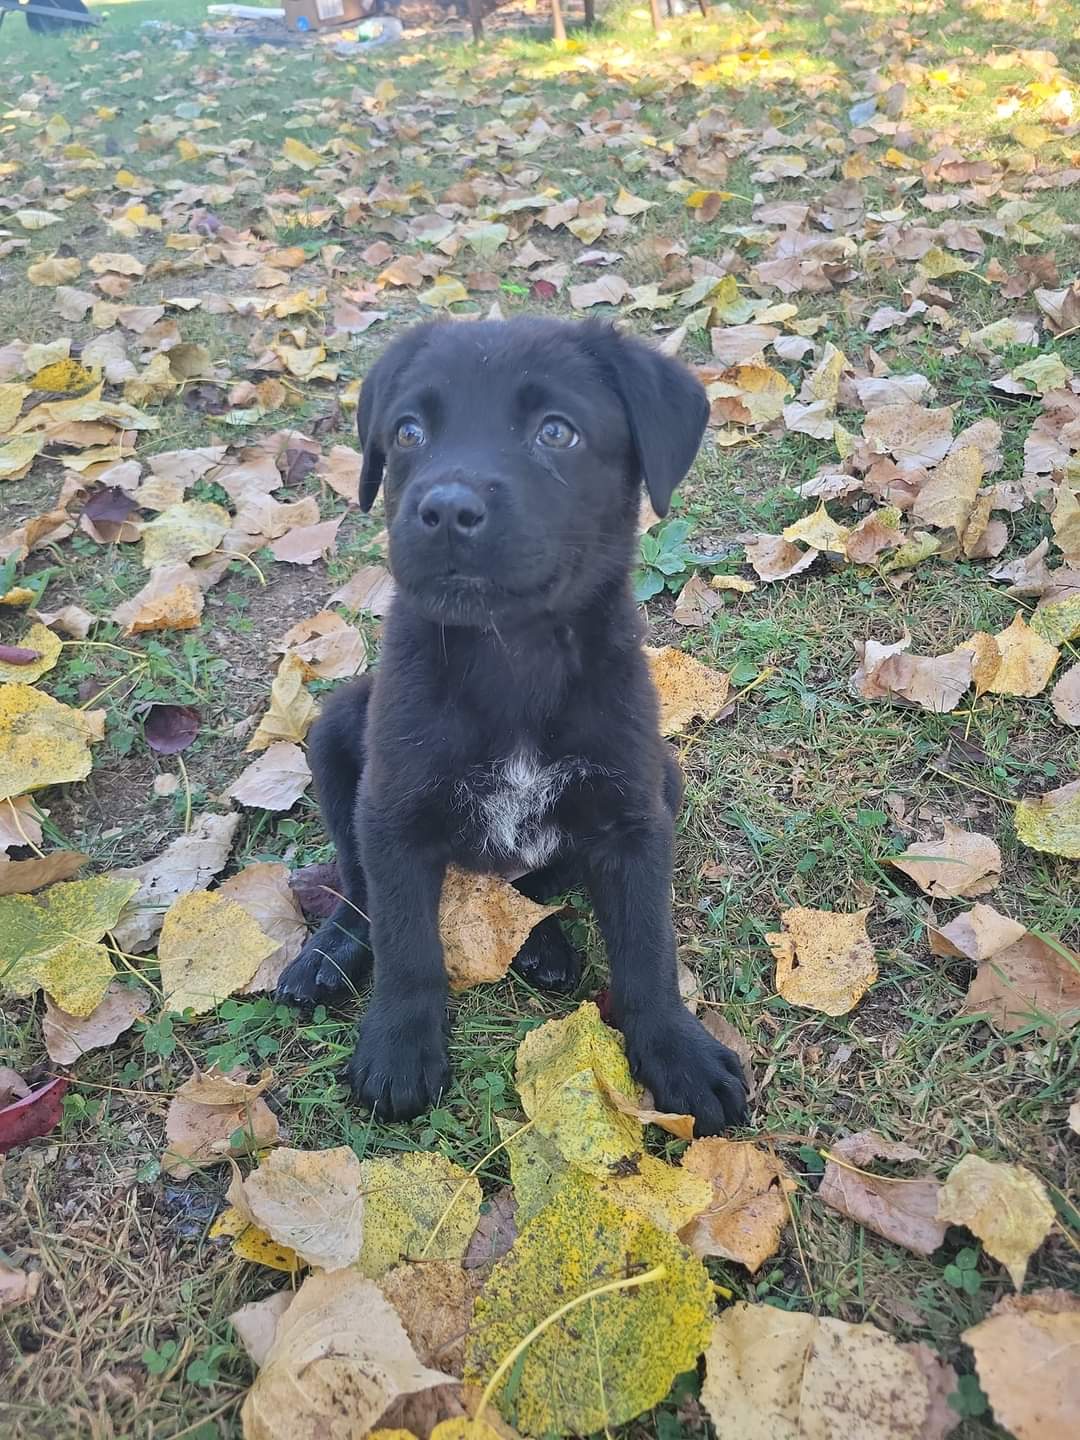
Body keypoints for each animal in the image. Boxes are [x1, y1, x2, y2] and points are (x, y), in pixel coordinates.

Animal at [279, 318, 748, 1134]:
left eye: (555, 431)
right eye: (408, 432)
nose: (444, 510)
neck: (511, 654)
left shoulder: (632, 816)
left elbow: (647, 951)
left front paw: (677, 1052)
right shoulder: (392, 812)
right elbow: (407, 945)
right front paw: (400, 1045)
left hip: (664, 774)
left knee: (535, 883)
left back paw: (544, 944)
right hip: (337, 734)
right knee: (360, 889)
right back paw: (329, 955)